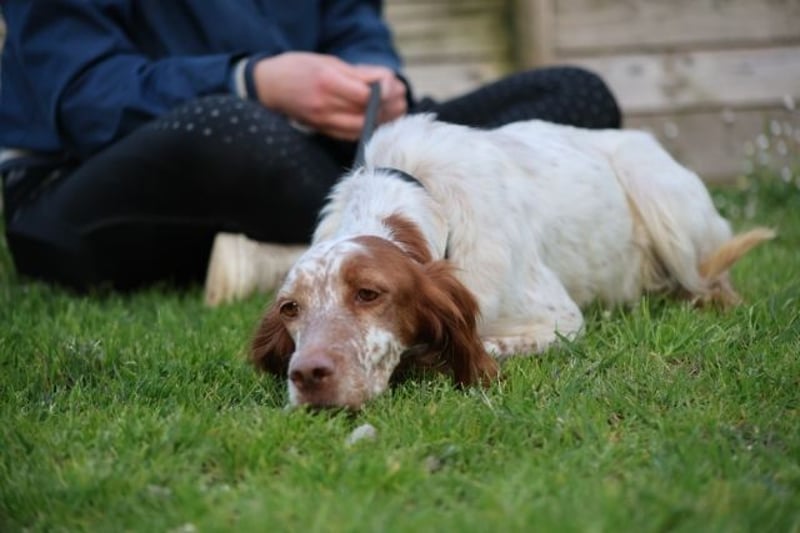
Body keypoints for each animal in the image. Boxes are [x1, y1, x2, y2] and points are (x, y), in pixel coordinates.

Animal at [250, 114, 773, 409]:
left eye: (368, 293)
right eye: (290, 308)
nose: (307, 375)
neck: (429, 200)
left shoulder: (562, 319)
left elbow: (475, 344)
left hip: (665, 207)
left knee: (710, 282)